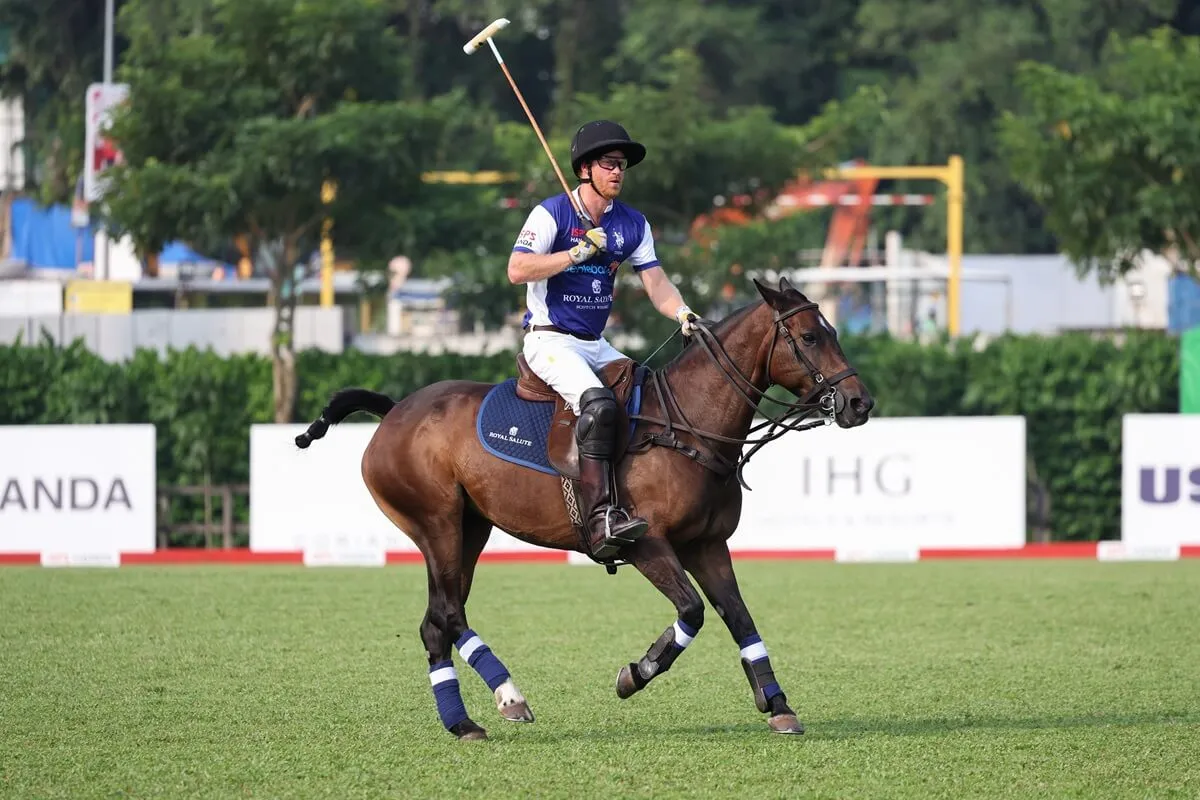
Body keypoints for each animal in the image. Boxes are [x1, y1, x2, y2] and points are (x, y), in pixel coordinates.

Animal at [290, 278, 873, 743]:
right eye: (810, 337)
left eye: (833, 332)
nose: (859, 403)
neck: (688, 426)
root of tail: (393, 412)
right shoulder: (646, 543)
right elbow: (691, 611)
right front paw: (635, 673)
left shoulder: (707, 543)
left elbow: (739, 617)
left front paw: (778, 706)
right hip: (435, 524)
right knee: (449, 615)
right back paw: (510, 697)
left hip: (470, 528)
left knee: (437, 621)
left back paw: (462, 722)